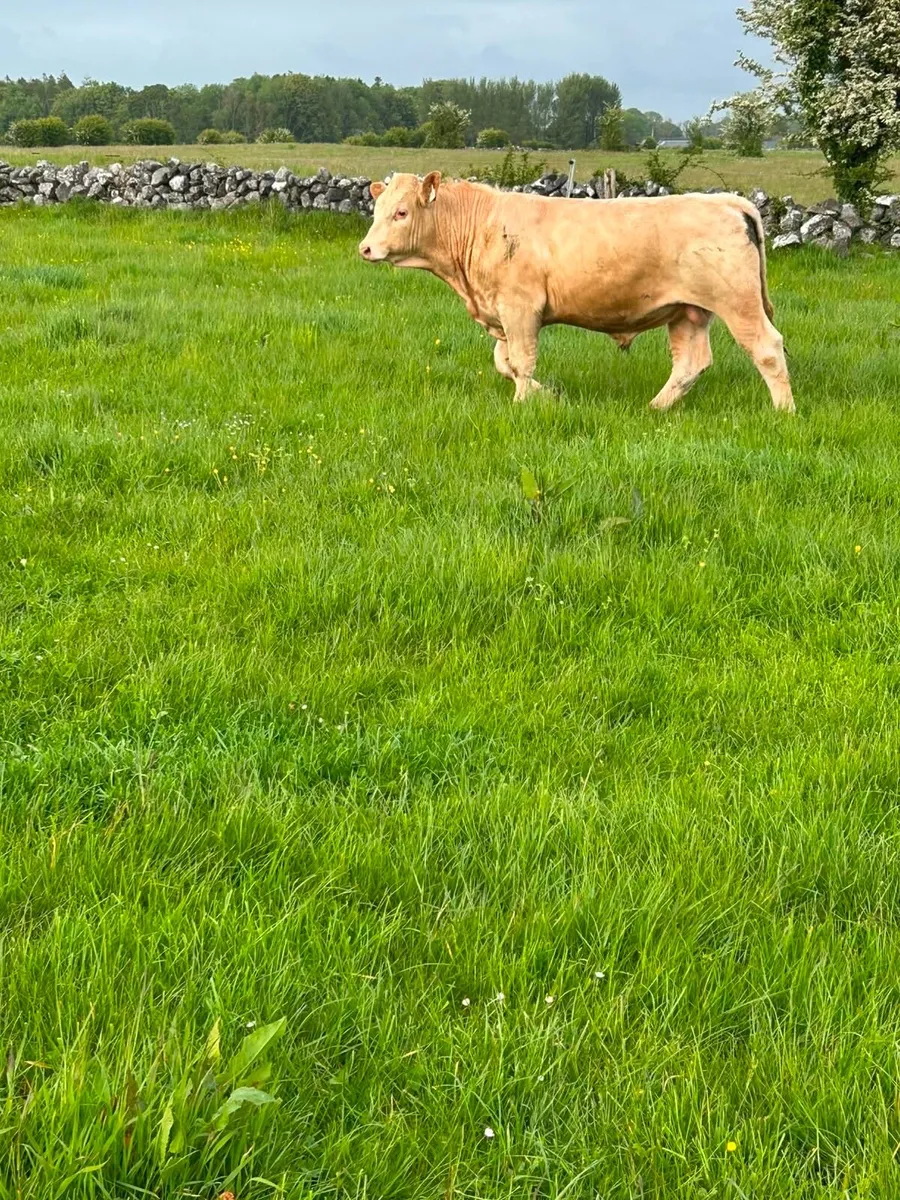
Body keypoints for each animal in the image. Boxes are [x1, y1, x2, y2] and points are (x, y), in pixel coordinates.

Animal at [359, 172, 794, 413]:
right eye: (376, 211)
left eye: (401, 213)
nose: (365, 248)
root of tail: (726, 199)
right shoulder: (502, 313)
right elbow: (504, 363)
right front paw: (548, 394)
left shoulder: (520, 308)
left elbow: (521, 363)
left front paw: (524, 402)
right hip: (688, 311)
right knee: (691, 364)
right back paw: (654, 407)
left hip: (738, 303)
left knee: (767, 349)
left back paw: (784, 412)